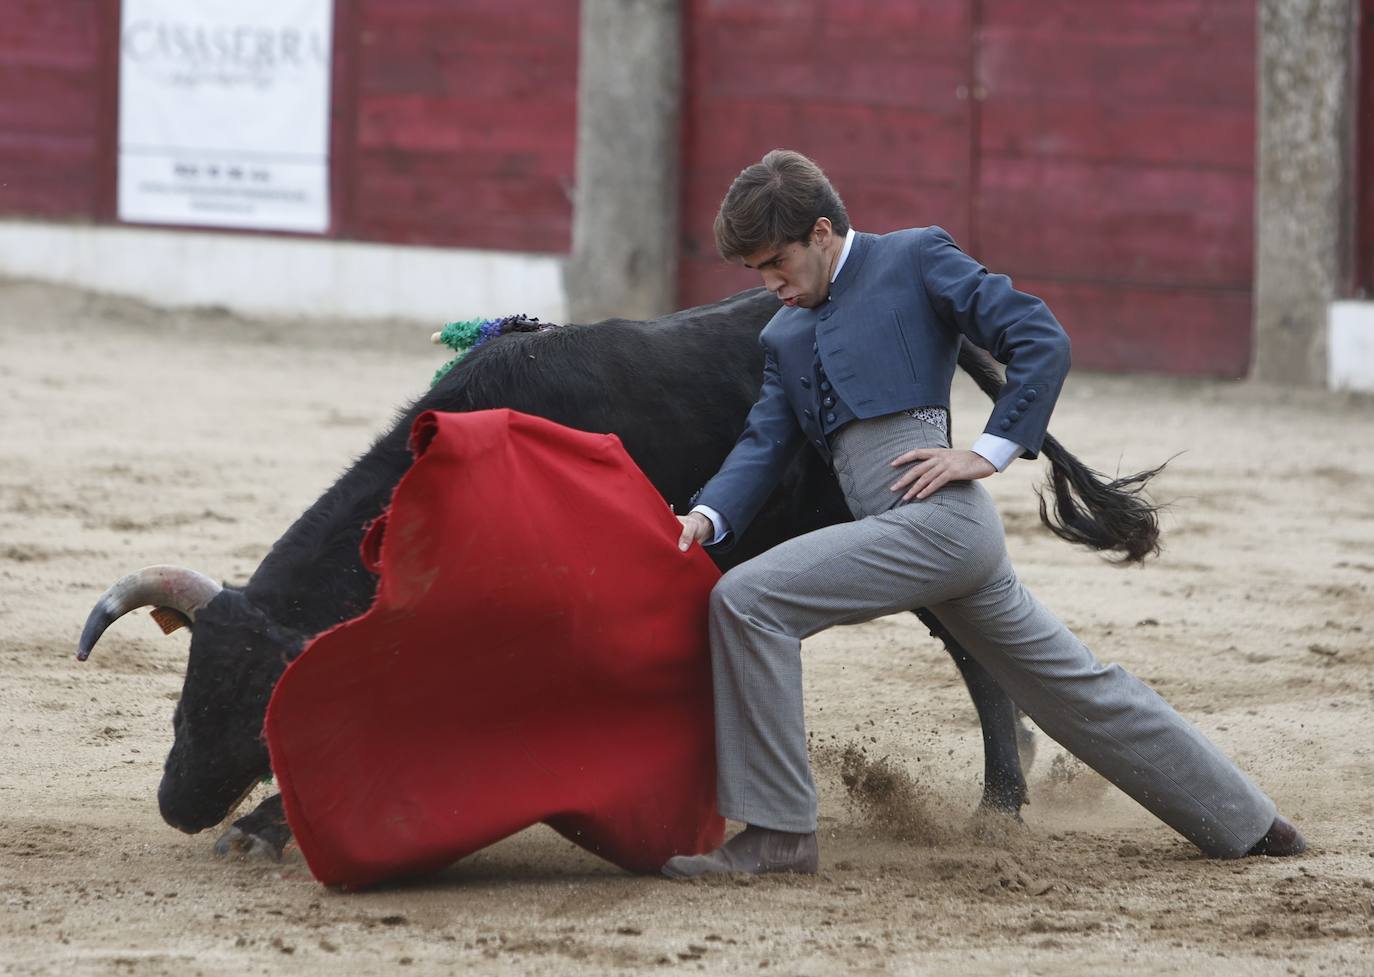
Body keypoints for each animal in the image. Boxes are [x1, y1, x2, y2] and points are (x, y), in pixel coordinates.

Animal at [77, 287, 1159, 857]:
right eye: (186, 691)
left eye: (259, 703)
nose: (178, 802)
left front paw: (267, 825)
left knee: (974, 643)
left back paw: (999, 803)